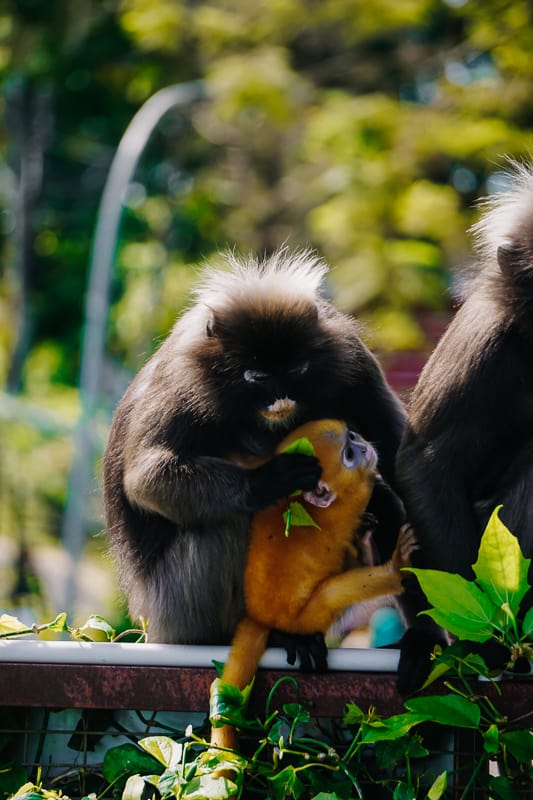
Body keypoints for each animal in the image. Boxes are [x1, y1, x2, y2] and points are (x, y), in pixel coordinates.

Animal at [103, 249, 406, 668]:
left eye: (296, 369)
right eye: (256, 375)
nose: (280, 398)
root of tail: (152, 625)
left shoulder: (352, 359)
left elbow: (394, 447)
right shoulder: (182, 381)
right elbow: (147, 478)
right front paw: (269, 479)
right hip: (177, 610)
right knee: (225, 524)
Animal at [210, 419, 417, 750]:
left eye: (353, 436)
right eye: (348, 454)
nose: (363, 447)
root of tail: (259, 615)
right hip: (304, 619)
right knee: (332, 594)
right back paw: (393, 570)